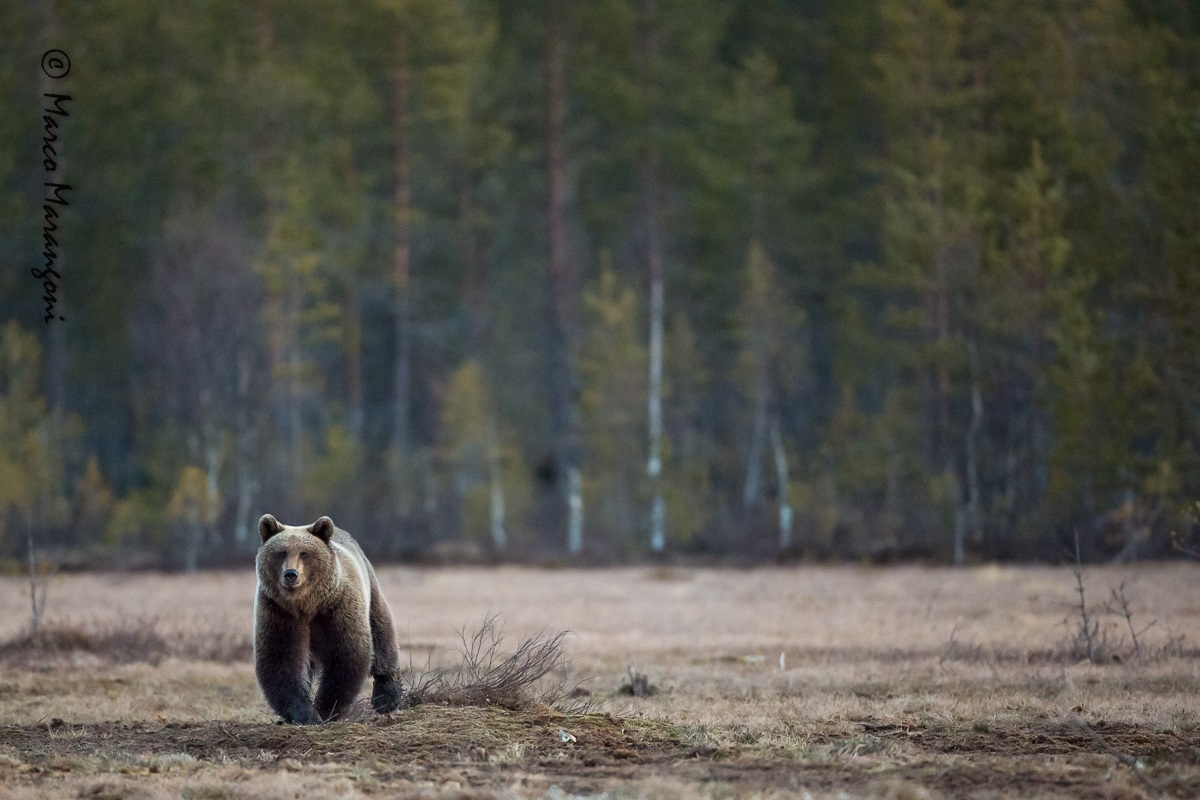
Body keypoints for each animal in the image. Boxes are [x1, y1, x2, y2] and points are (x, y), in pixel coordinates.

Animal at [254, 514, 406, 724]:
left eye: (304, 553)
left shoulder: (336, 608)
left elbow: (345, 655)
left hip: (370, 588)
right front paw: (304, 714)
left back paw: (387, 698)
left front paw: (325, 709)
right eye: (281, 553)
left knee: (381, 632)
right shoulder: (279, 613)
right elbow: (281, 660)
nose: (291, 574)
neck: (306, 604)